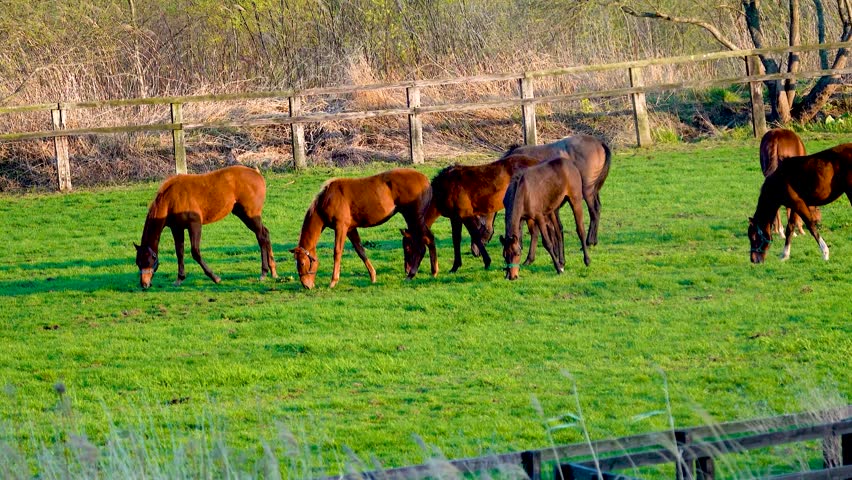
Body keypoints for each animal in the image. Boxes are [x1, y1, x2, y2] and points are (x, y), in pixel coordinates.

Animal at [135, 165, 277, 289]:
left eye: (148, 261)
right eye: (137, 262)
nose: (144, 284)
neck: (171, 199)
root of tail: (257, 174)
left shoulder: (195, 225)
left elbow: (195, 252)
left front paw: (215, 278)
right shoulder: (177, 229)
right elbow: (179, 252)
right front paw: (179, 278)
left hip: (251, 215)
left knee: (262, 236)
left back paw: (264, 272)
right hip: (243, 214)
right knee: (265, 233)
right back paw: (273, 271)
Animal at [291, 168, 436, 289]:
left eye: (302, 263)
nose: (306, 285)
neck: (328, 198)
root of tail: (426, 181)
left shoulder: (341, 227)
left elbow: (337, 252)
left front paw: (333, 281)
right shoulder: (350, 229)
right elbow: (360, 251)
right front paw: (373, 276)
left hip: (414, 218)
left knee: (424, 244)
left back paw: (415, 274)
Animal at [402, 154, 543, 275]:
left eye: (408, 247)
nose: (407, 270)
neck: (445, 188)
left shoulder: (465, 215)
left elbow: (475, 236)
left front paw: (487, 262)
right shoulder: (455, 218)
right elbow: (456, 239)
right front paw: (455, 266)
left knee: (534, 232)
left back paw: (528, 259)